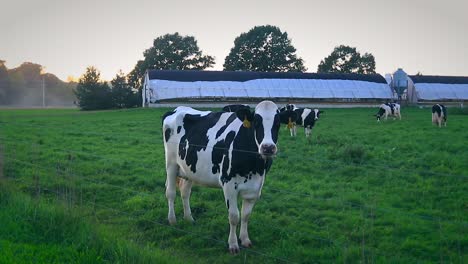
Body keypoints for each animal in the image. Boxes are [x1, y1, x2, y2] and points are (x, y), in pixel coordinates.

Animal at [163, 100, 296, 254]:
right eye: (256, 122)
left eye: (278, 123)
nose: (268, 147)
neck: (254, 166)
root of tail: (177, 109)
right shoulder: (228, 184)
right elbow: (234, 216)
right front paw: (233, 245)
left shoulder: (255, 187)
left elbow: (245, 215)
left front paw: (245, 239)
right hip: (171, 164)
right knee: (171, 192)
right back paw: (172, 220)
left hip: (189, 168)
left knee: (185, 192)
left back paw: (189, 218)